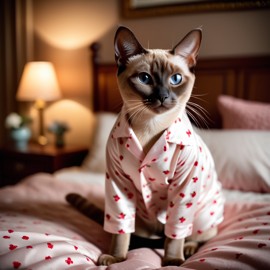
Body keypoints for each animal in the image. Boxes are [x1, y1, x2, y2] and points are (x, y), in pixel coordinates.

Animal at [66, 26, 225, 266]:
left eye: (176, 79)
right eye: (145, 78)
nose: (163, 96)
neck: (150, 127)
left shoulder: (184, 186)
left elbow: (175, 235)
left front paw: (172, 262)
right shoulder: (118, 184)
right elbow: (120, 232)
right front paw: (117, 258)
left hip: (202, 214)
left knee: (194, 236)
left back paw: (188, 250)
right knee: (137, 233)